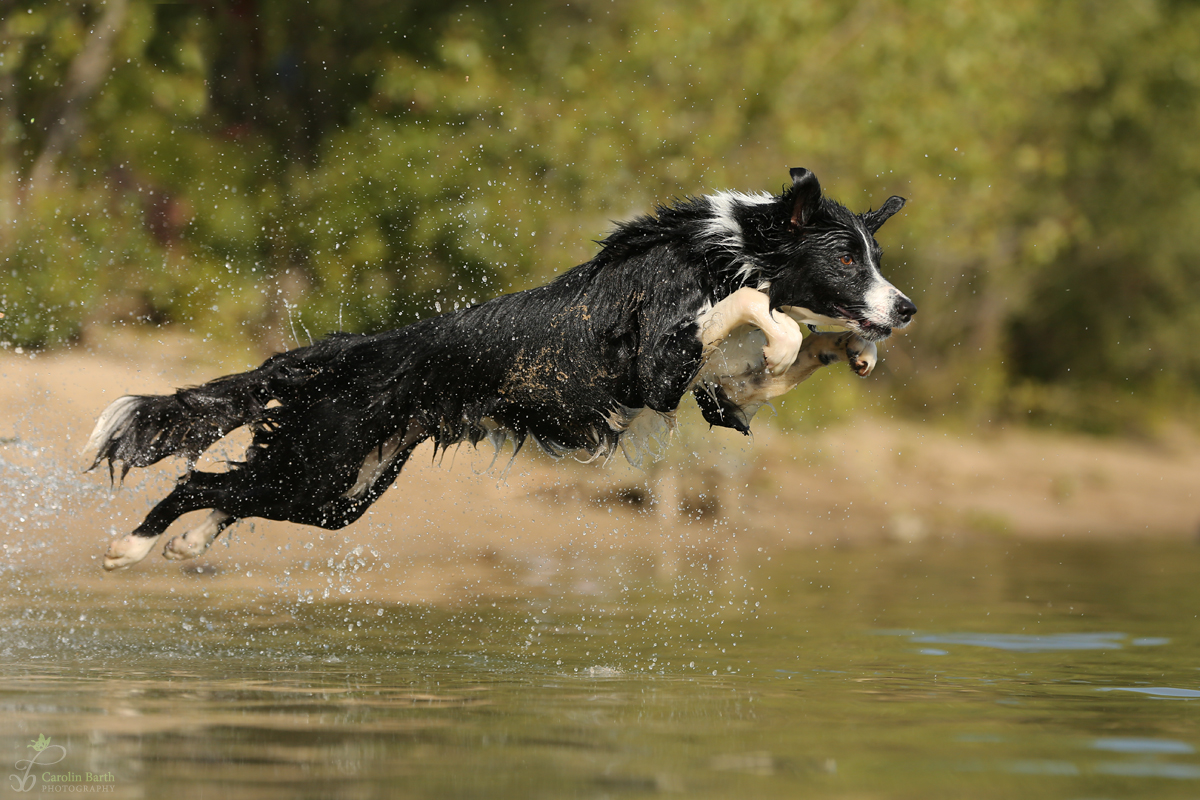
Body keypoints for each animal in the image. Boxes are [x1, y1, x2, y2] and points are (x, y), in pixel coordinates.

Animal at [88, 167, 912, 568]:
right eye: (845, 259)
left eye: (874, 256)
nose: (904, 308)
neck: (723, 247)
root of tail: (336, 350)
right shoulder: (653, 368)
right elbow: (761, 313)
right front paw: (784, 333)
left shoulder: (707, 390)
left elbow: (785, 355)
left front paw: (853, 348)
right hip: (323, 464)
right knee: (197, 481)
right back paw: (129, 547)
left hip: (340, 489)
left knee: (231, 489)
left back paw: (189, 543)